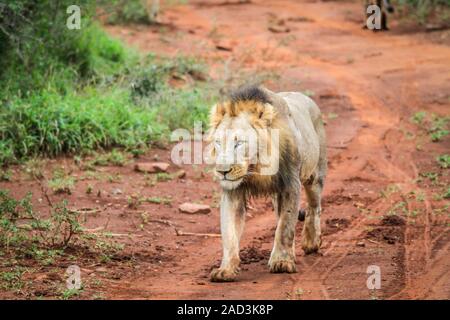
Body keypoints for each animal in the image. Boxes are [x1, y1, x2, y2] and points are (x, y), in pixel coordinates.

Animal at [207, 85, 326, 282]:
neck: (256, 167)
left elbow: (285, 227)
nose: (222, 171)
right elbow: (229, 232)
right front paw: (226, 270)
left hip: (315, 175)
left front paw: (282, 262)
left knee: (314, 207)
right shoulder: (233, 192)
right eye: (218, 142)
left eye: (239, 143)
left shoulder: (291, 185)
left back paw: (311, 242)